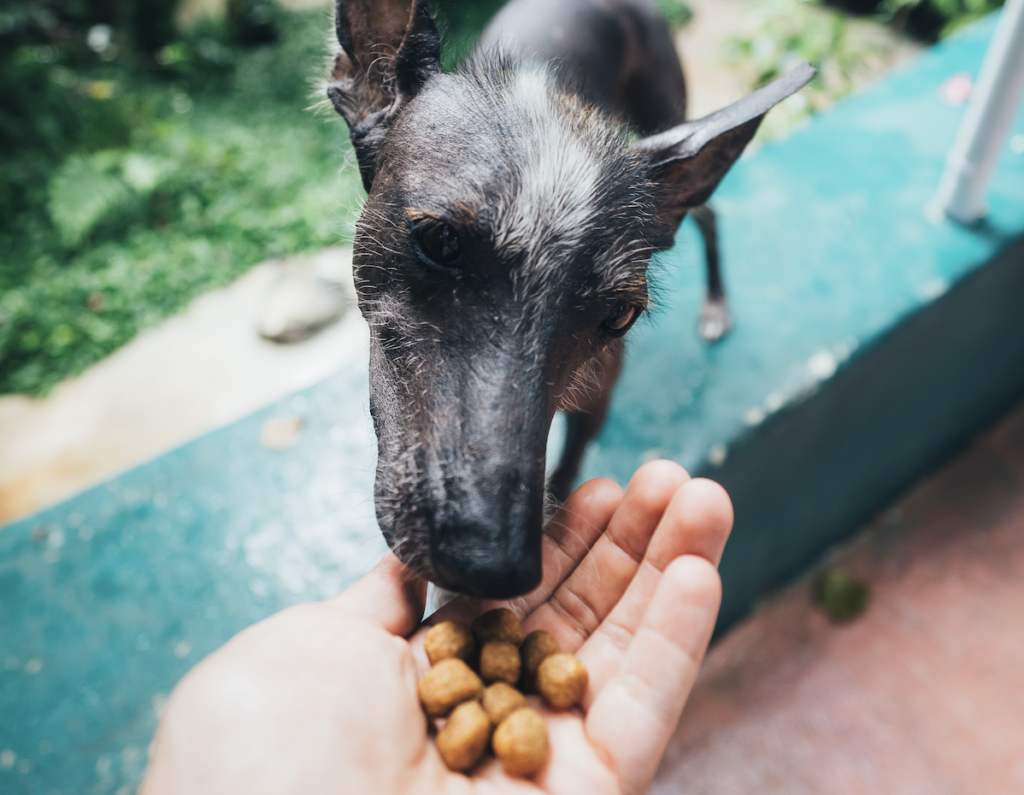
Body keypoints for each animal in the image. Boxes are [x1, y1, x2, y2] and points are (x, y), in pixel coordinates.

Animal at [323, 0, 811, 598]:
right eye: (440, 240)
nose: (492, 564)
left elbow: (569, 468)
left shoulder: (597, 400)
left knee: (710, 215)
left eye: (620, 315)